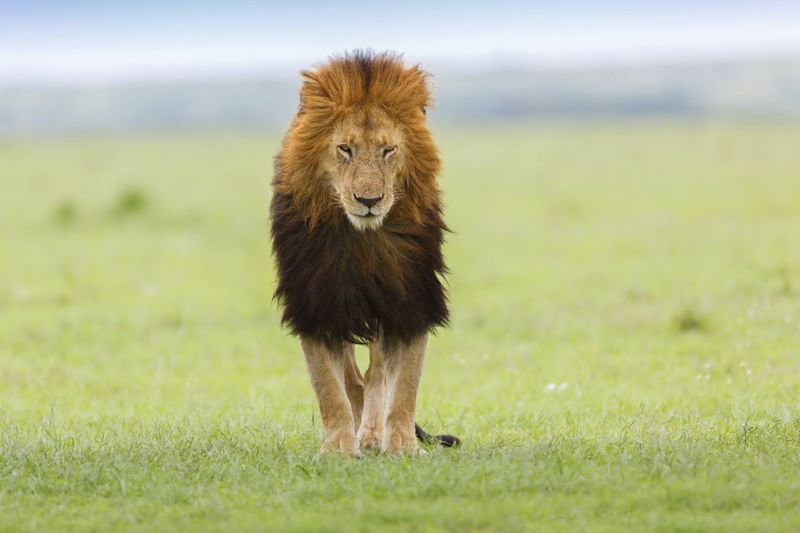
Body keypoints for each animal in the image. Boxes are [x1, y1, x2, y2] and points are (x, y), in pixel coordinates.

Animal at [270, 50, 459, 456]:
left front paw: (402, 446)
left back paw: (373, 433)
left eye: (388, 150)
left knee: (375, 374)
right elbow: (329, 386)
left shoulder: (409, 298)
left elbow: (404, 384)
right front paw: (339, 448)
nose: (369, 200)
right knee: (354, 377)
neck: (362, 241)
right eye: (346, 149)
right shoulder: (315, 301)